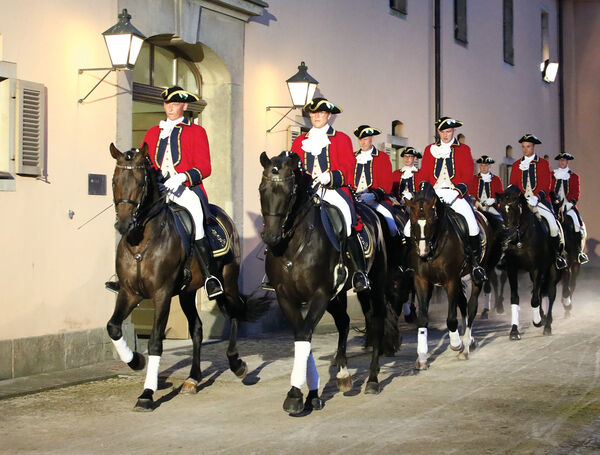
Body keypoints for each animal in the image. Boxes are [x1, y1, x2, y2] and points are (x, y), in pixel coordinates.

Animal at [108, 144, 268, 412]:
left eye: (140, 183)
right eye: (114, 181)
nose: (124, 225)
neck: (141, 241)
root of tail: (223, 215)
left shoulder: (162, 294)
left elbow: (155, 341)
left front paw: (147, 394)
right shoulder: (129, 292)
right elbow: (113, 327)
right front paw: (136, 361)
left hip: (226, 281)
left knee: (235, 312)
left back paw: (236, 364)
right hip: (186, 292)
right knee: (197, 329)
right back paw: (193, 378)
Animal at [258, 152, 390, 414]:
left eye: (288, 192)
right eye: (261, 189)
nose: (270, 237)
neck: (293, 246)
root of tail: (372, 213)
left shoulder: (319, 294)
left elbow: (305, 333)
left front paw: (296, 394)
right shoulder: (286, 297)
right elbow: (303, 335)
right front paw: (309, 394)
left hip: (374, 285)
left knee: (377, 320)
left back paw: (372, 380)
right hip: (336, 296)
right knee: (344, 322)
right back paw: (343, 373)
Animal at [404, 182, 492, 370]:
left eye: (432, 221)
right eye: (413, 222)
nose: (422, 251)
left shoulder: (451, 280)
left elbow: (451, 319)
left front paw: (456, 344)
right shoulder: (421, 280)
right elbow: (423, 318)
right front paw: (422, 357)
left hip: (476, 275)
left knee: (471, 307)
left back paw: (465, 346)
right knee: (463, 305)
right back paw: (469, 341)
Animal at [494, 185, 560, 338]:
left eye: (516, 208)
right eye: (501, 209)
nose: (507, 237)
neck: (521, 239)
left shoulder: (537, 269)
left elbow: (535, 299)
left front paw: (537, 321)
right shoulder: (512, 268)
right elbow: (515, 299)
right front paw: (514, 331)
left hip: (551, 270)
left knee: (550, 293)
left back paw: (547, 325)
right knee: (540, 291)